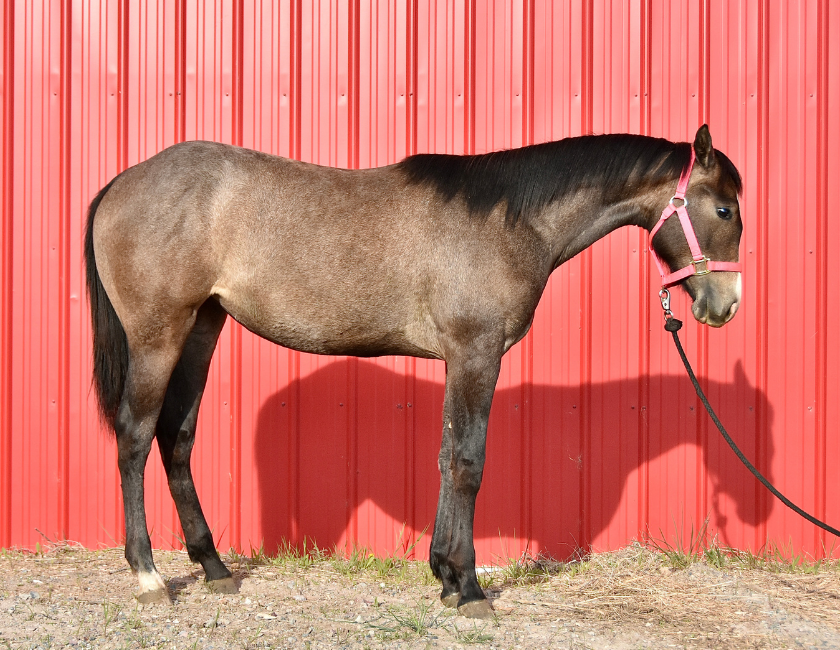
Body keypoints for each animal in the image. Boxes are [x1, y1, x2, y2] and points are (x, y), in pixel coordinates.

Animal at [85, 125, 742, 619]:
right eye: (724, 207)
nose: (725, 306)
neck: (507, 220)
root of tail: (121, 182)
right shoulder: (477, 352)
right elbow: (470, 463)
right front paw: (470, 588)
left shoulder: (462, 359)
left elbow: (449, 458)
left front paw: (446, 578)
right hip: (158, 336)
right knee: (134, 438)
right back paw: (148, 575)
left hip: (202, 328)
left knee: (176, 437)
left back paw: (215, 566)